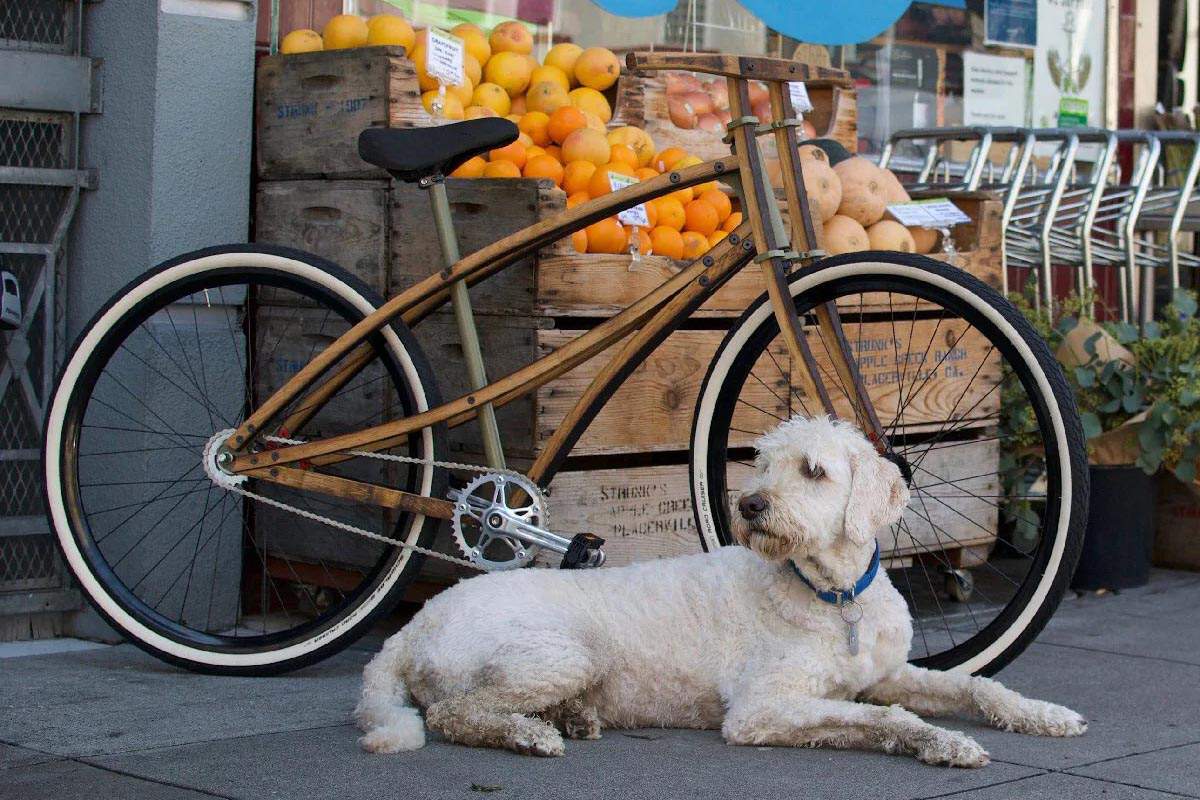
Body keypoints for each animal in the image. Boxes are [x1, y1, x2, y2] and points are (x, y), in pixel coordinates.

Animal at [355, 417, 1089, 767]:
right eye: (759, 461)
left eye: (813, 470)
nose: (751, 505)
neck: (834, 597)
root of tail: (410, 629)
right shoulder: (764, 709)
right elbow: (885, 721)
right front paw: (942, 744)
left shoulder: (883, 674)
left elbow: (977, 686)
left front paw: (1043, 714)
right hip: (561, 653)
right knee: (455, 713)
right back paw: (529, 734)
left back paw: (571, 718)